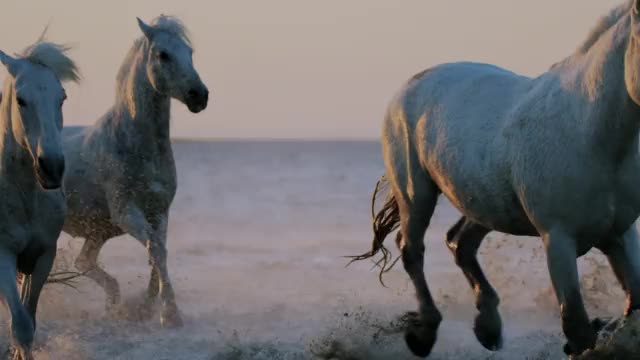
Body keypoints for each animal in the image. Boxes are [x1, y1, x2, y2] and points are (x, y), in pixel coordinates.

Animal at [61, 15, 209, 328]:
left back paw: (114, 306)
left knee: (84, 262)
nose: (200, 96)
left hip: (98, 233)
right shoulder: (126, 212)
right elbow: (155, 249)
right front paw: (169, 314)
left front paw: (147, 307)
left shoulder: (159, 211)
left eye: (190, 52)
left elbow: (159, 251)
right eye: (163, 54)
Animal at [356, 0, 640, 358]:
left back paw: (488, 327)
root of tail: (409, 85)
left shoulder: (620, 233)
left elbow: (633, 304)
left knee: (459, 241)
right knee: (412, 250)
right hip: (416, 194)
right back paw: (424, 334)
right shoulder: (558, 239)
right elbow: (576, 325)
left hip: (483, 204)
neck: (589, 131)